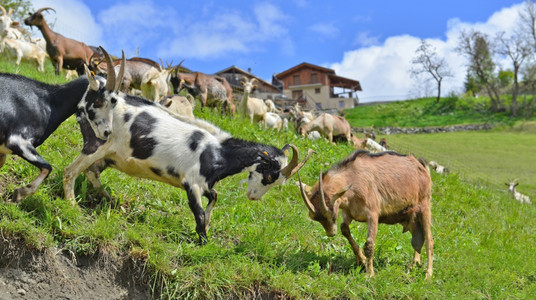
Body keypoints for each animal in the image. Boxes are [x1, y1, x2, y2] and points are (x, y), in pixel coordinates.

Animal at [62, 47, 314, 244]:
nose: (253, 197)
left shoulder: (205, 184)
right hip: (96, 144)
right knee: (70, 171)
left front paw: (209, 227)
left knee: (92, 173)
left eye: (278, 182)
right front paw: (204, 242)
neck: (217, 152)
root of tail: (87, 101)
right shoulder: (190, 182)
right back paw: (72, 205)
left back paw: (108, 200)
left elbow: (214, 197)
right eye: (271, 175)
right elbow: (200, 214)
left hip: (108, 156)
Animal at [300, 151, 434, 280]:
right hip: (409, 217)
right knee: (419, 237)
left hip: (425, 205)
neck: (354, 177)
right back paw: (414, 264)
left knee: (429, 239)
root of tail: (422, 167)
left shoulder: (373, 214)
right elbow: (344, 229)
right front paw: (361, 260)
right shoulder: (349, 213)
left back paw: (428, 274)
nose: (331, 233)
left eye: (331, 212)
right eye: (314, 217)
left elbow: (369, 244)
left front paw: (370, 273)